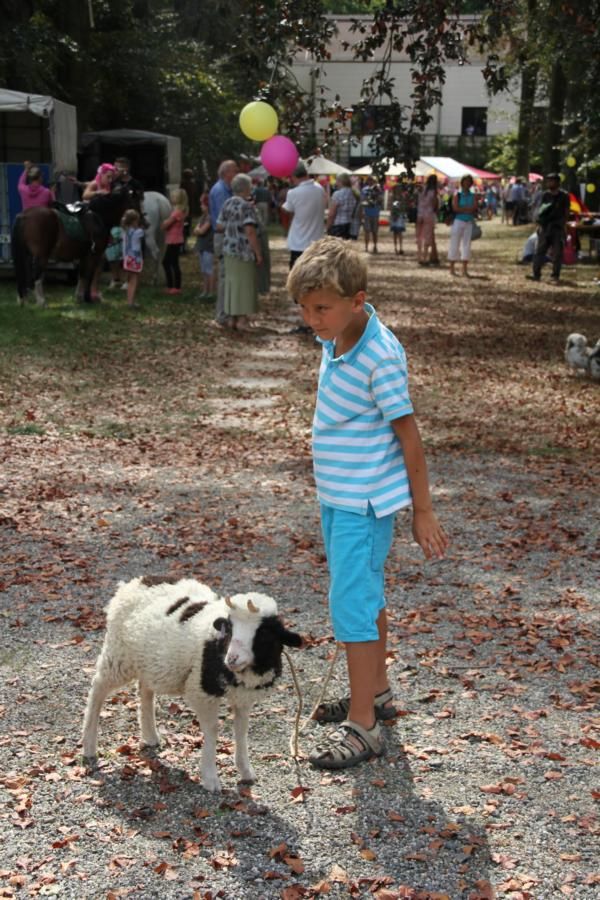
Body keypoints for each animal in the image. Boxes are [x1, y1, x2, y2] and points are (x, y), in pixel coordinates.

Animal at [12, 185, 144, 308]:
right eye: (136, 202)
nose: (143, 223)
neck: (99, 216)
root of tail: (24, 216)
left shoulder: (83, 256)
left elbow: (82, 275)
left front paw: (79, 297)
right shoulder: (94, 255)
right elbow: (89, 276)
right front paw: (88, 298)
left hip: (27, 255)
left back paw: (23, 300)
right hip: (42, 255)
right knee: (36, 275)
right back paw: (41, 302)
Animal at [81, 580, 302, 792]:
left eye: (264, 633)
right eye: (230, 629)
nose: (232, 658)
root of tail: (134, 583)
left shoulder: (243, 696)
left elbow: (241, 731)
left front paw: (245, 771)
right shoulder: (201, 690)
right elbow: (212, 730)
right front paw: (210, 778)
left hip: (148, 661)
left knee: (145, 689)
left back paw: (150, 735)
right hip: (119, 654)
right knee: (98, 688)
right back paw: (89, 746)